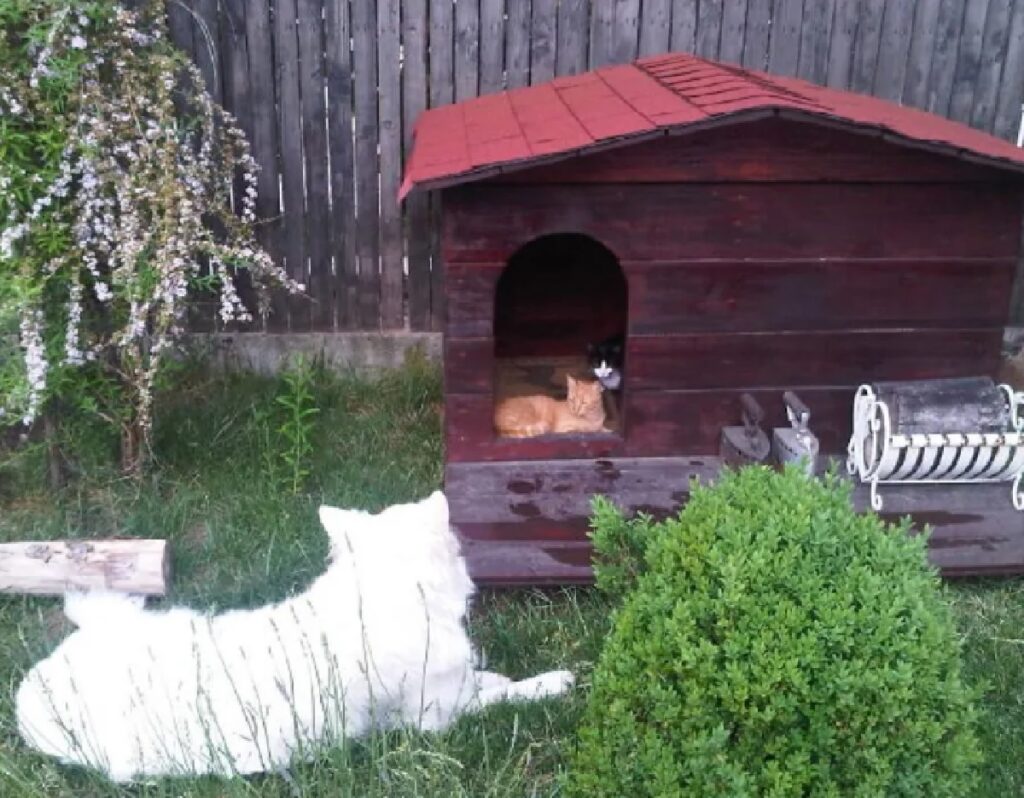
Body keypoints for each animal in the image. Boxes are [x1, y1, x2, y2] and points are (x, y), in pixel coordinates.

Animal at [16, 489, 573, 782]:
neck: (382, 593)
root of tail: (30, 693)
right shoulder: (434, 717)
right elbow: (504, 694)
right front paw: (550, 683)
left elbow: (487, 678)